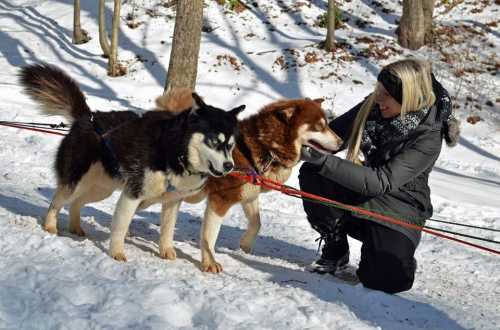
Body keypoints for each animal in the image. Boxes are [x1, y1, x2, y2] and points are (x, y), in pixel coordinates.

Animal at [143, 97, 342, 270]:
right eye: (319, 127)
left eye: (327, 124)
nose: (341, 142)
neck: (263, 147)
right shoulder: (220, 200)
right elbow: (210, 236)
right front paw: (209, 262)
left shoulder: (248, 195)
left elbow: (256, 222)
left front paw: (245, 245)